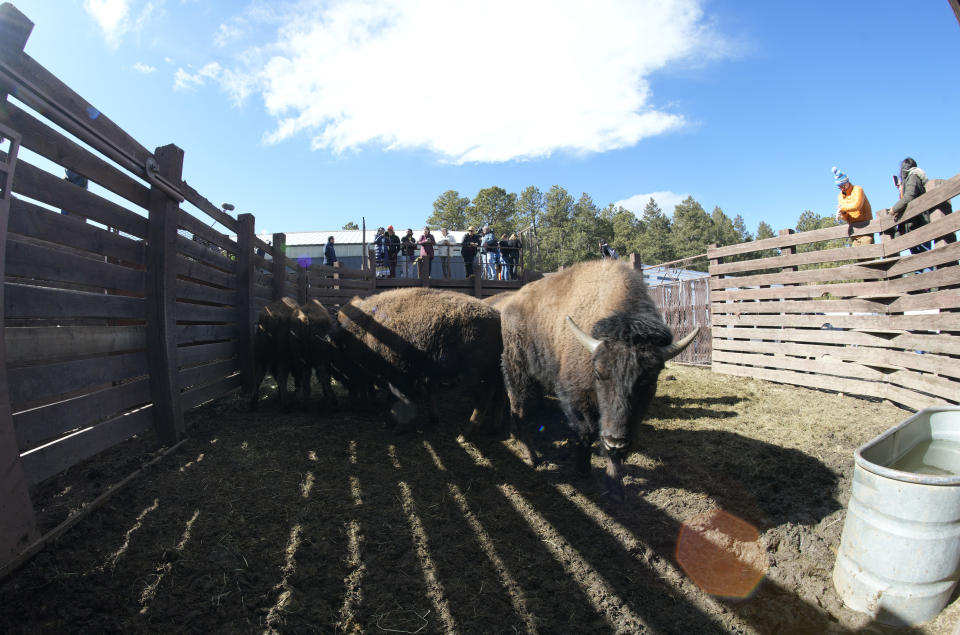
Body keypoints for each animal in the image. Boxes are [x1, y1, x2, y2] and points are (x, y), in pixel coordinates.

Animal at [334, 288, 506, 432]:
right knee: (497, 395)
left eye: (344, 350)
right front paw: (432, 419)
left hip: (473, 376)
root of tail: (497, 318)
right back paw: (493, 428)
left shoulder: (400, 374)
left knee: (485, 397)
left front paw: (400, 427)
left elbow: (405, 396)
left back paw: (467, 432)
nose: (341, 379)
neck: (367, 329)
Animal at [496, 258, 696, 502]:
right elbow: (587, 432)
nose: (615, 440)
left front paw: (615, 486)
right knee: (519, 409)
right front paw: (582, 470)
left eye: (649, 381)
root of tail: (510, 304)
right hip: (517, 370)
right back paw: (531, 456)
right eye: (600, 373)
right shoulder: (576, 397)